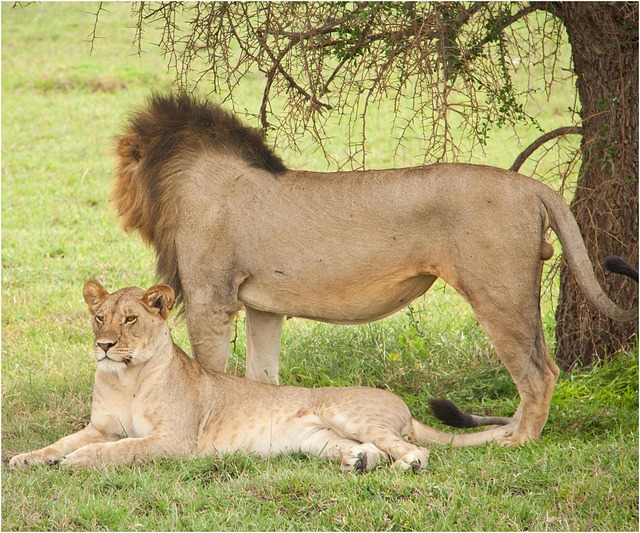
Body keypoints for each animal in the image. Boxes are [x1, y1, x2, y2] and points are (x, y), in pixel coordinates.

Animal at [9, 281, 516, 471]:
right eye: (99, 318)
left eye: (130, 319)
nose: (104, 346)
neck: (126, 378)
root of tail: (404, 408)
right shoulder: (99, 425)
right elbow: (60, 441)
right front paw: (25, 458)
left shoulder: (174, 440)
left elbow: (120, 449)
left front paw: (78, 461)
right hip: (318, 440)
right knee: (366, 450)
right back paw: (358, 463)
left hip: (347, 413)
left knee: (415, 452)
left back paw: (399, 468)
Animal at [111, 93, 637, 446]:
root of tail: (531, 187)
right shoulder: (263, 308)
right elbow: (263, 380)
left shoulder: (211, 298)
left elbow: (209, 372)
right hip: (516, 295)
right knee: (546, 366)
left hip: (499, 295)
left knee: (538, 375)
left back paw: (518, 442)